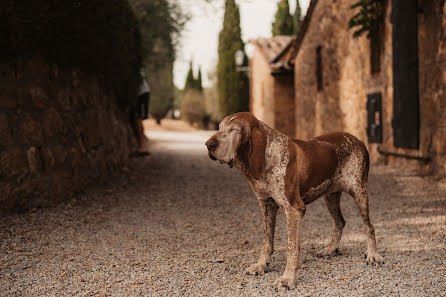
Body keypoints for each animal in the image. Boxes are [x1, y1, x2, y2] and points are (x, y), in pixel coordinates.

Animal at [206, 111, 384, 290]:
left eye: (234, 130)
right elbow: (266, 241)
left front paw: (287, 278)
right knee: (340, 222)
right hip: (330, 196)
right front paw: (262, 265)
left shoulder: (293, 209)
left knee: (369, 226)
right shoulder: (266, 205)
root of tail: (357, 139)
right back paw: (330, 249)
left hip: (359, 192)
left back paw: (373, 255)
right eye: (219, 127)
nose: (208, 144)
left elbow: (291, 248)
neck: (267, 157)